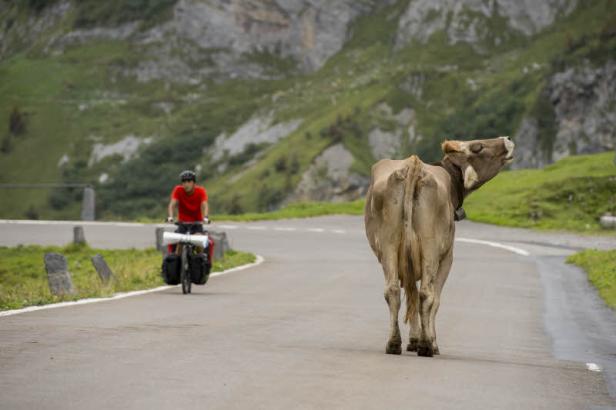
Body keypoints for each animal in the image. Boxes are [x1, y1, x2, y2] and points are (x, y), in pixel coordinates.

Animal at [364, 137, 512, 356]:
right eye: (477, 146)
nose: (507, 139)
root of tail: (413, 164)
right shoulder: (447, 257)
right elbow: (433, 299)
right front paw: (428, 341)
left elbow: (411, 296)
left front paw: (413, 339)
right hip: (431, 247)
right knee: (428, 294)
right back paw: (427, 346)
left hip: (389, 244)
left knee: (393, 290)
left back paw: (394, 343)